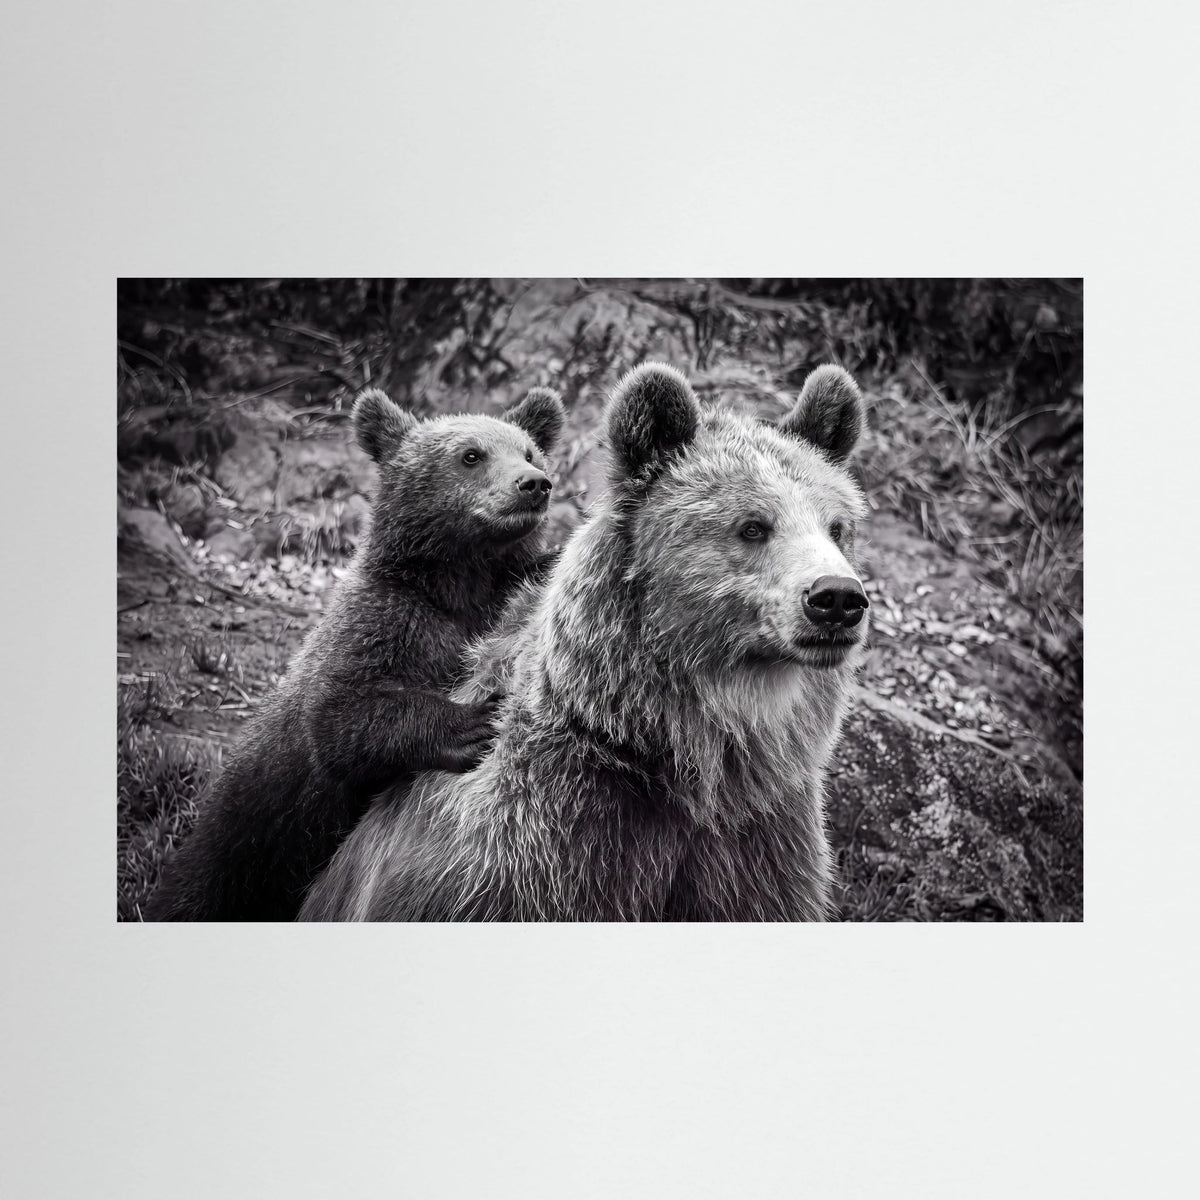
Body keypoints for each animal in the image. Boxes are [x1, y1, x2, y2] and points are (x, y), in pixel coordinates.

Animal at [144, 382, 566, 921]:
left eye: (529, 450)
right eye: (472, 455)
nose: (534, 484)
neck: (458, 584)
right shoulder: (385, 622)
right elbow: (340, 718)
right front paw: (471, 721)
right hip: (244, 847)